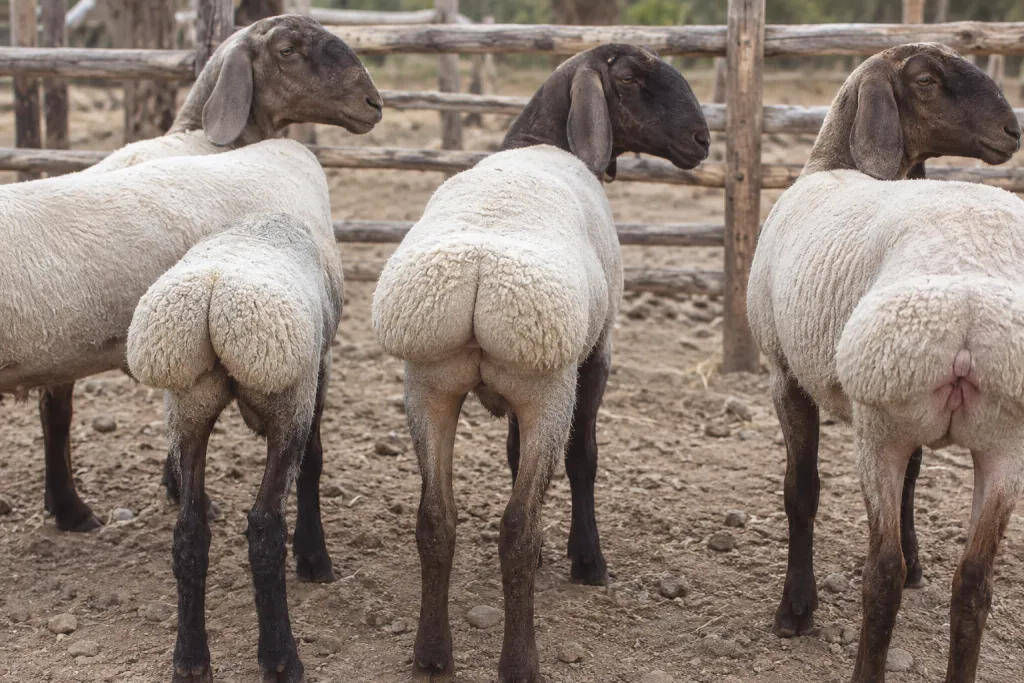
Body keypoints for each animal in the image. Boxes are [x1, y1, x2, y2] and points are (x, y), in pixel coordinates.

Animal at [0, 18, 381, 534]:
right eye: (287, 49)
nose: (373, 103)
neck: (202, 137)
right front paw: (179, 488)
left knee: (54, 414)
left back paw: (70, 510)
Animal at [126, 211, 341, 683]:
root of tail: (211, 296)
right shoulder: (317, 373)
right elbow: (314, 462)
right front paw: (314, 559)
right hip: (287, 398)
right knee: (264, 525)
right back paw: (281, 659)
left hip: (187, 403)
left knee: (189, 530)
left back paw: (190, 661)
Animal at [371, 44, 710, 683]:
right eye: (632, 77)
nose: (702, 140)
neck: (542, 142)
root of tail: (478, 275)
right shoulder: (596, 354)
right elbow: (584, 458)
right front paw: (586, 561)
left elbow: (508, 456)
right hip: (548, 388)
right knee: (517, 527)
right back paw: (520, 660)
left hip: (429, 385)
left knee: (435, 518)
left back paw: (432, 653)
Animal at [746, 43, 1022, 682]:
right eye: (925, 80)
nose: (1013, 131)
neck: (831, 163)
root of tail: (968, 308)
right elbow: (915, 482)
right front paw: (921, 561)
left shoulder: (784, 374)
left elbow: (801, 489)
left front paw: (795, 609)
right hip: (1003, 442)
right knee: (974, 582)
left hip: (879, 425)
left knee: (882, 576)